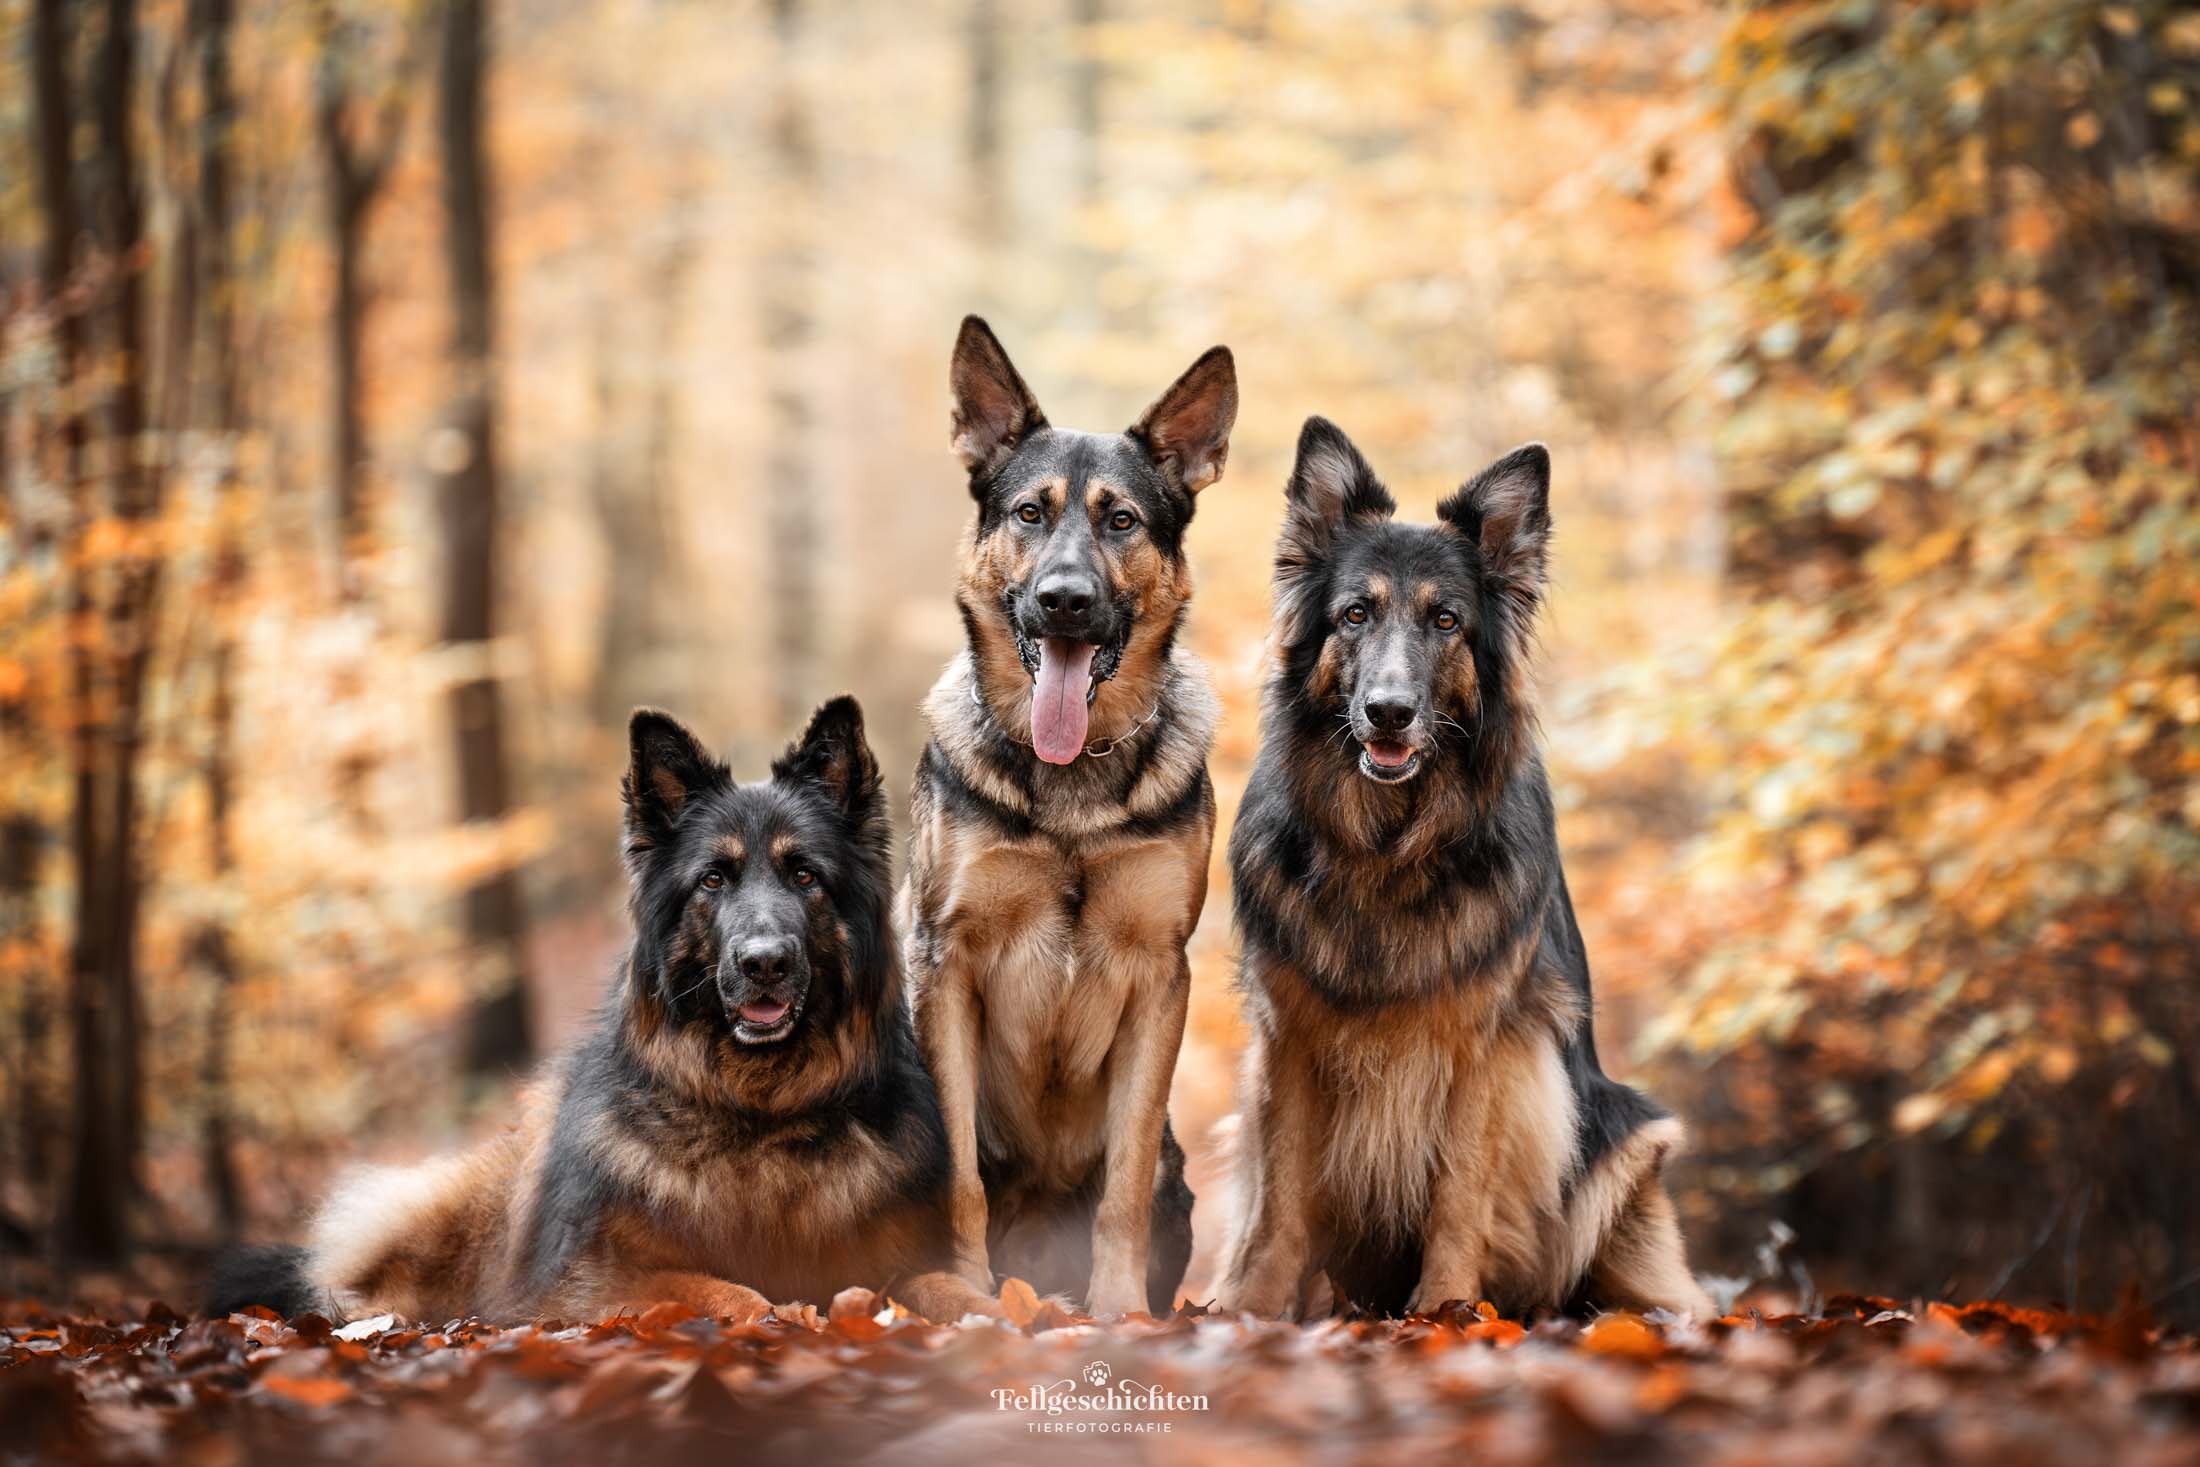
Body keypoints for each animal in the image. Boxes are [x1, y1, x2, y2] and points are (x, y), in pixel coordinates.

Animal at [897, 318, 1232, 1319]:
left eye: (1121, 521)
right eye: (1029, 515)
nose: (1065, 601)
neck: (1071, 785)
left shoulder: (1160, 976)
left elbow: (1122, 1184)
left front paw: (1119, 1312)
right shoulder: (945, 961)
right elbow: (960, 1177)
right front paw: (965, 1294)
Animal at [1223, 422, 1716, 1319]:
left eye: (1446, 619)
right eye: (1355, 613)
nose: (1388, 712)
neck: (1389, 849)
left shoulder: (1487, 1046)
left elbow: (1459, 1190)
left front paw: (1446, 1311)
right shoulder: (1288, 1037)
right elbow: (1278, 1200)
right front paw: (1246, 1307)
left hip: (1627, 1136)